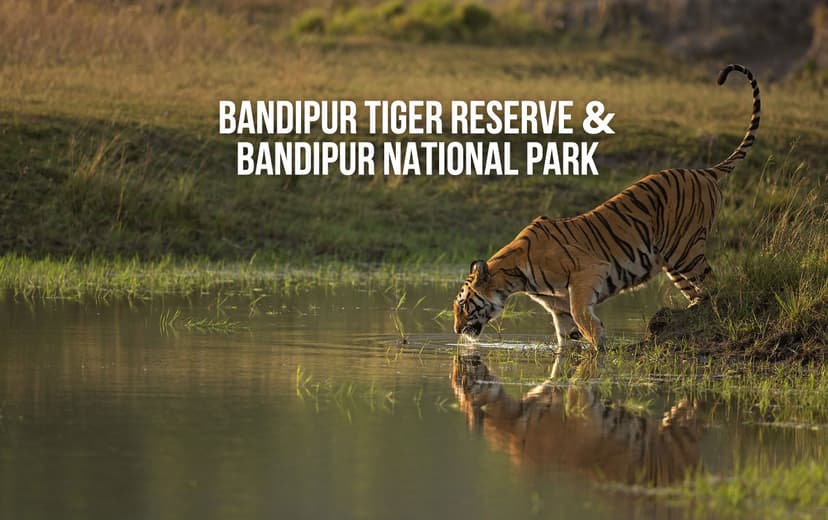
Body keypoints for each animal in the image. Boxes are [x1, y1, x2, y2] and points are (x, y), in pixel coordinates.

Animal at [453, 64, 761, 349]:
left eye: (464, 305)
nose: (456, 330)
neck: (515, 278)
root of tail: (703, 171)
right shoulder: (557, 308)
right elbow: (565, 339)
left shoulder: (587, 272)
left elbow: (581, 313)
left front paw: (598, 342)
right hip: (673, 259)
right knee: (698, 291)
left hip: (685, 248)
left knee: (713, 284)